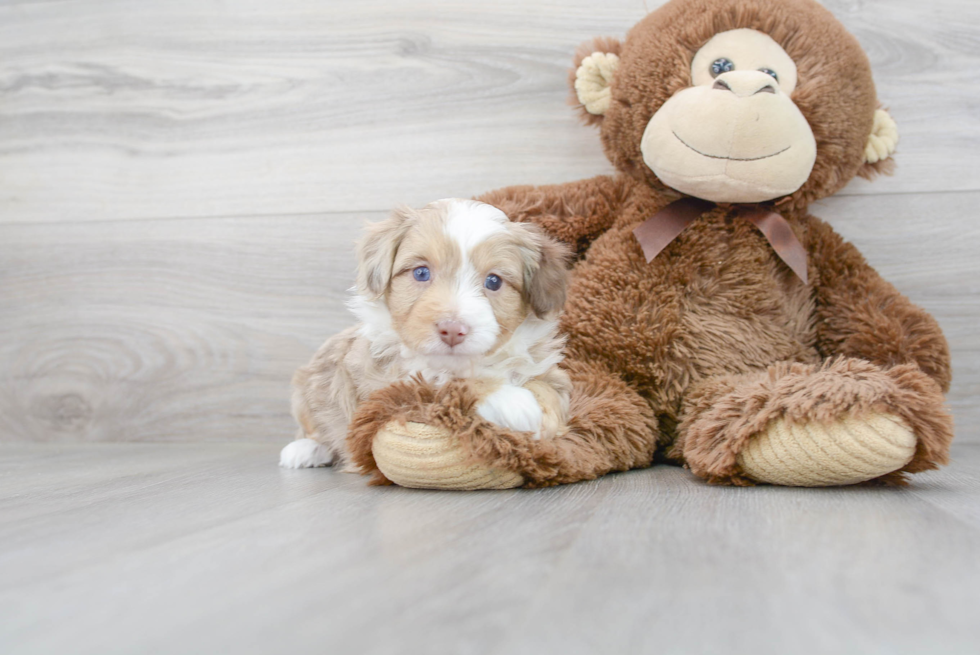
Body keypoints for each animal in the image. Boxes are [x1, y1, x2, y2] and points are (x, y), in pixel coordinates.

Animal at [282, 197, 576, 468]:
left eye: (494, 281)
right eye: (421, 273)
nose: (452, 330)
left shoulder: (547, 370)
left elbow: (549, 389)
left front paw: (546, 423)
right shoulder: (393, 384)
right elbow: (445, 382)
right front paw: (511, 401)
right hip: (305, 390)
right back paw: (305, 450)